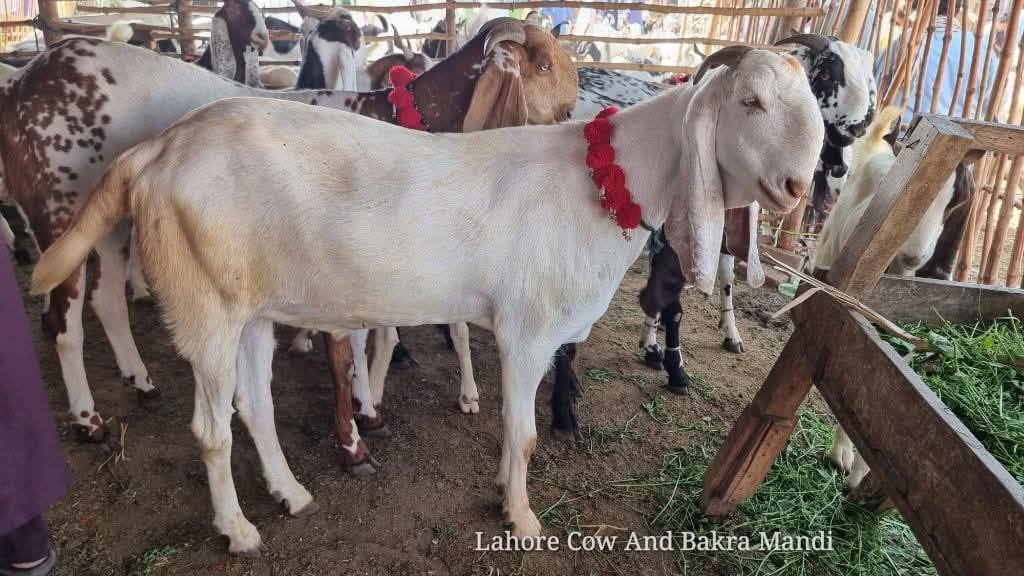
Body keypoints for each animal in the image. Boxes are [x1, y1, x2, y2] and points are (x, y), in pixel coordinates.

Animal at [31, 46, 823, 553]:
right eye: (749, 101)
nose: (795, 188)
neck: (601, 180)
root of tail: (155, 152)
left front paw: (507, 496)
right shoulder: (527, 330)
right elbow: (524, 432)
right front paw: (522, 518)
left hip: (251, 306)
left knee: (253, 405)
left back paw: (290, 494)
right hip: (206, 307)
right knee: (209, 426)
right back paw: (239, 530)